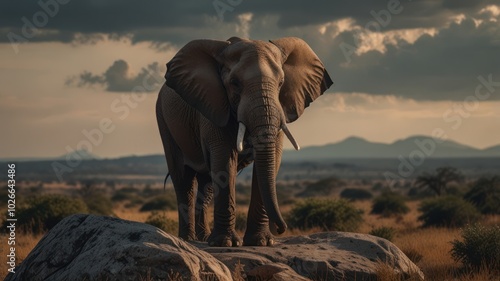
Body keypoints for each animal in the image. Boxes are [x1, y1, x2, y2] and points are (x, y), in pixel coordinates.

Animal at [157, 36, 332, 246]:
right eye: (234, 83)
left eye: (281, 82)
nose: (281, 228)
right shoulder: (213, 106)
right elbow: (224, 160)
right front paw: (225, 243)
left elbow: (272, 158)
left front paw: (261, 242)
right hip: (164, 119)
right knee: (183, 180)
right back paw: (188, 239)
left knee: (207, 183)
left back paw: (203, 238)